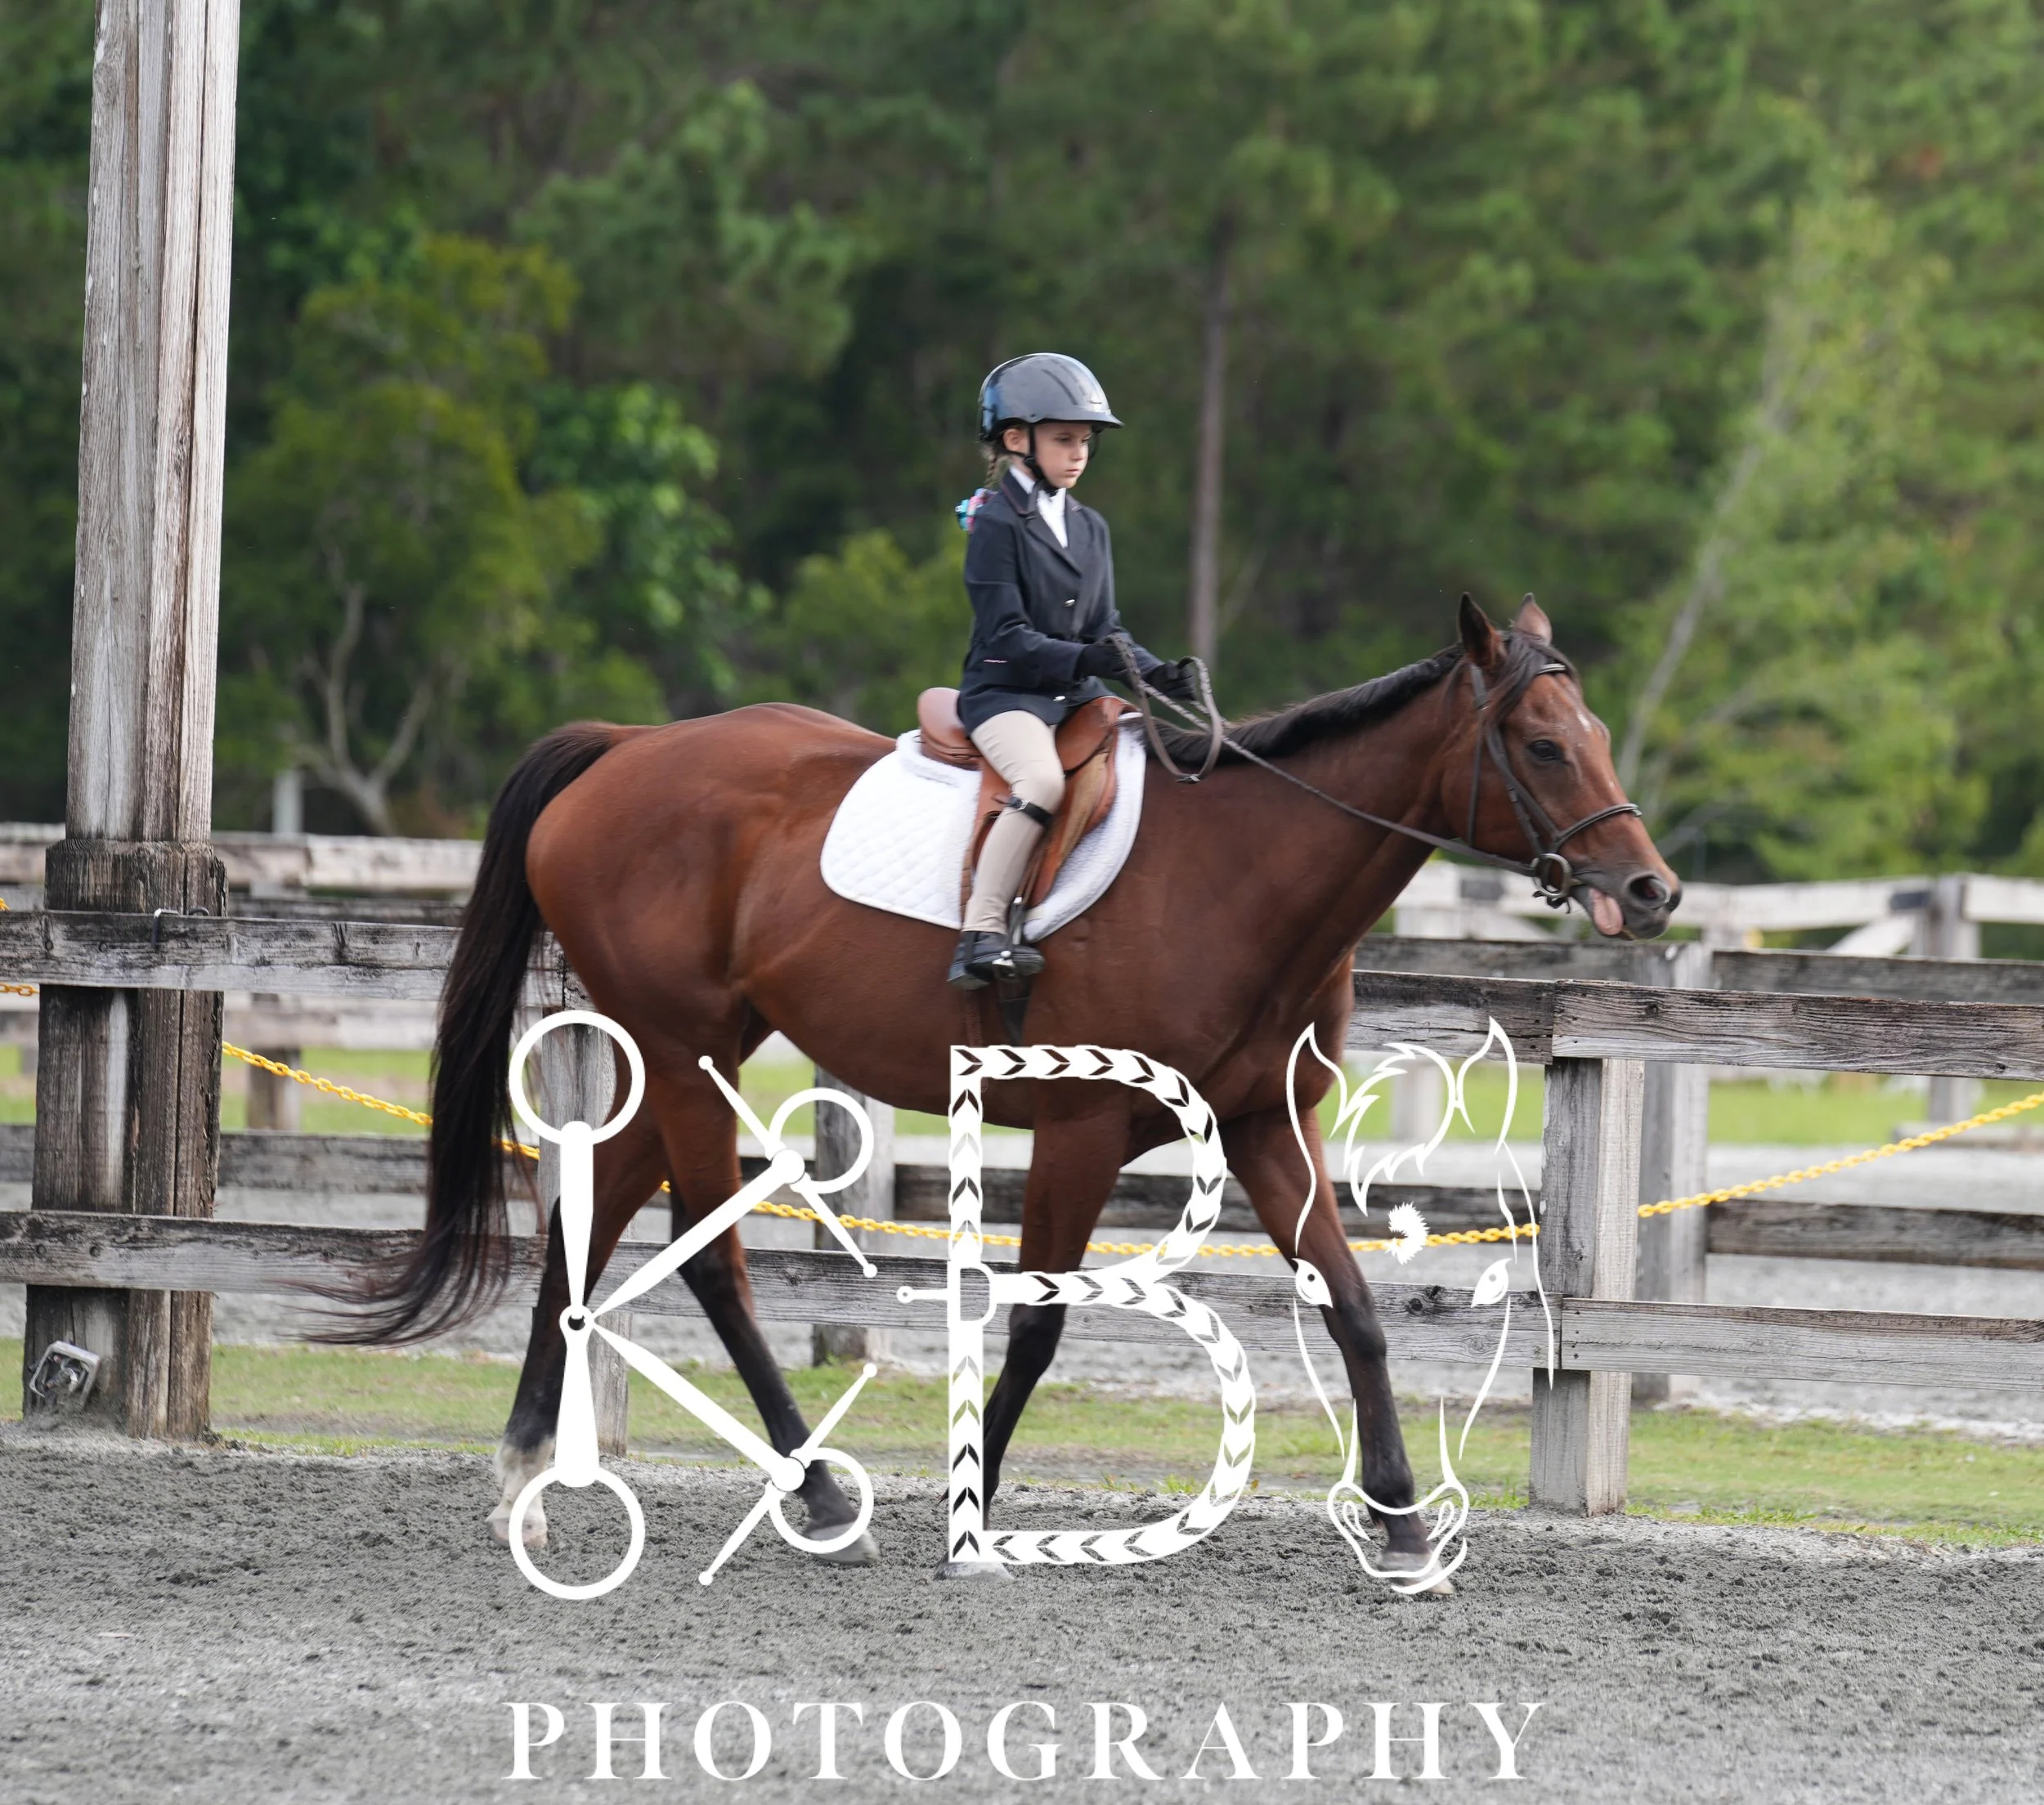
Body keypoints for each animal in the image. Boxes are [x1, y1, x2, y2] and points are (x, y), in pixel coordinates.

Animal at [344, 594, 1680, 1582]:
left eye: (1602, 734)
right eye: (1545, 744)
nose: (1652, 891)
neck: (1240, 872)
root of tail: (625, 750)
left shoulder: (1262, 1124)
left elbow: (1350, 1306)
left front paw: (1400, 1524)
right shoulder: (1084, 1131)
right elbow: (1039, 1321)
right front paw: (968, 1507)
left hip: (683, 1053)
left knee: (585, 1229)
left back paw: (527, 1483)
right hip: (681, 1056)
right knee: (710, 1263)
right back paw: (817, 1498)